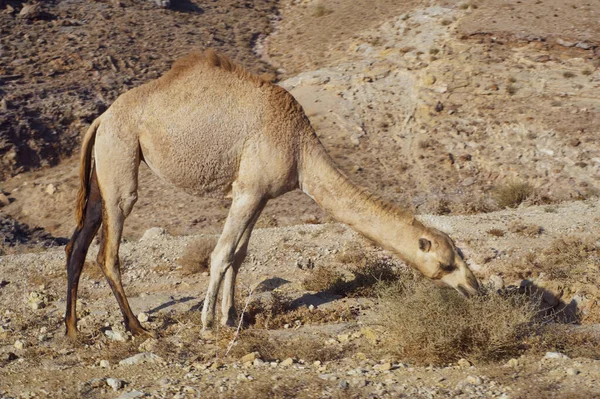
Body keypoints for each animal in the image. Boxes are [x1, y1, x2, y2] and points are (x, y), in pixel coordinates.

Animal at [63, 48, 480, 340]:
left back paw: (72, 330)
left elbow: (239, 255)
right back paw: (137, 328)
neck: (300, 149)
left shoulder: (259, 194)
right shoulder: (249, 189)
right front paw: (208, 324)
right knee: (108, 251)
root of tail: (101, 119)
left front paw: (232, 318)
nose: (473, 287)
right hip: (121, 157)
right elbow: (220, 254)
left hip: (105, 169)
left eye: (459, 257)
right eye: (446, 264)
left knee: (78, 244)